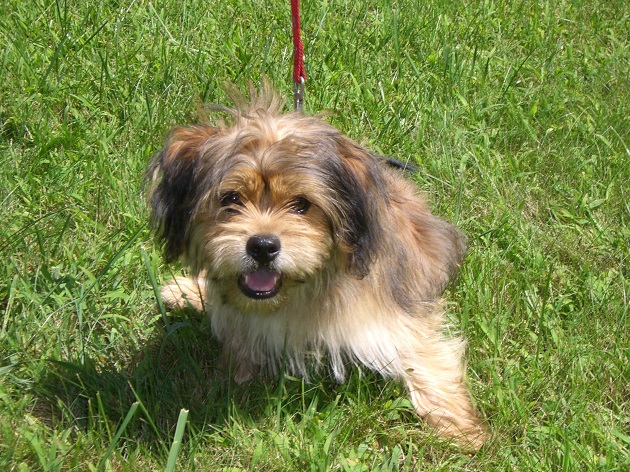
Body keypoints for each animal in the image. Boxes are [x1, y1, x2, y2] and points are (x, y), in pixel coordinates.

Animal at [148, 89, 488, 450]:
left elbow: (423, 357)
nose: (262, 246)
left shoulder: (390, 317)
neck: (302, 290)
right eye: (231, 199)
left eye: (301, 204)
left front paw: (458, 427)